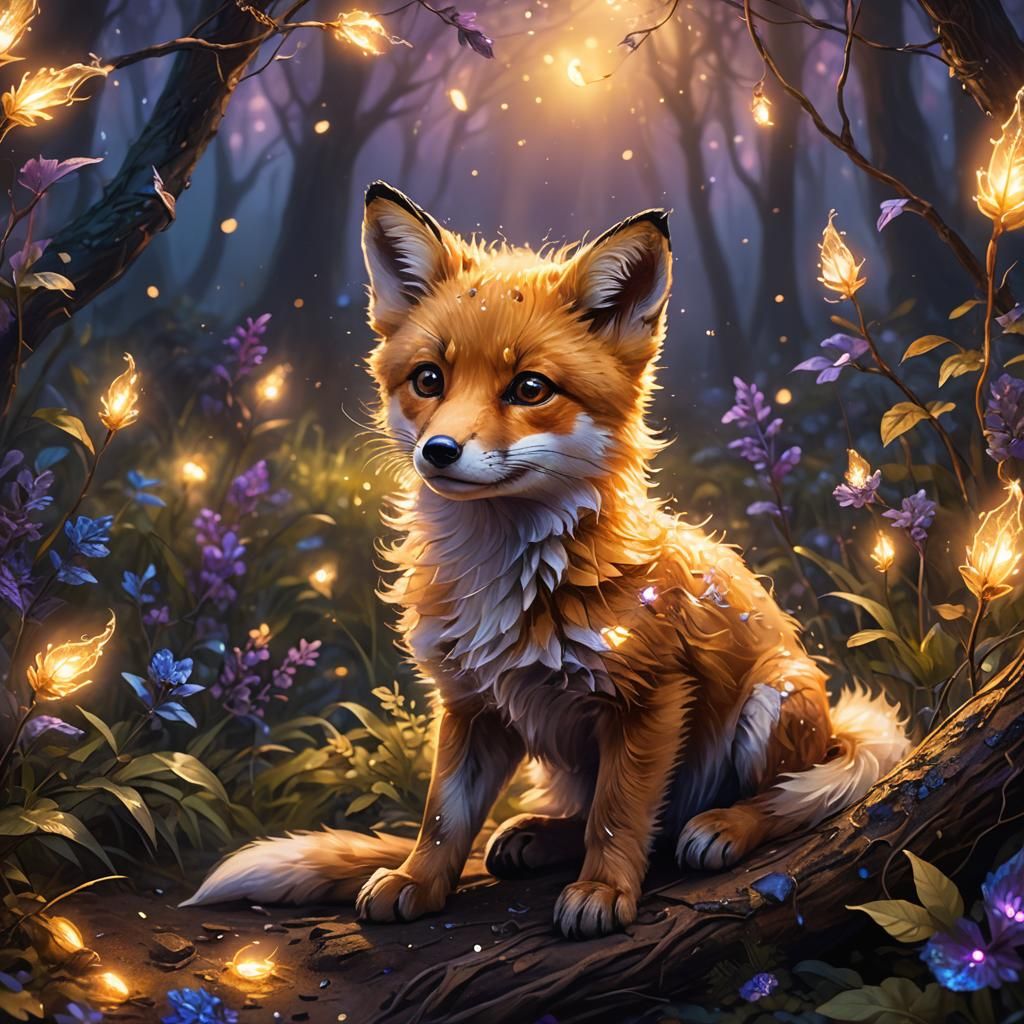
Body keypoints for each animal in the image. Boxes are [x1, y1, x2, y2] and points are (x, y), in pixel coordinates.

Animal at [184, 181, 910, 939]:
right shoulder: (470, 702)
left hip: (774, 698)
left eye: (530, 389)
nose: (438, 451)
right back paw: (536, 837)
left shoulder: (651, 698)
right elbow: (443, 816)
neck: (506, 578)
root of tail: (835, 724)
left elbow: (620, 816)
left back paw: (725, 826)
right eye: (429, 379)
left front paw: (603, 892)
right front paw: (417, 882)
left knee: (769, 802)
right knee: (595, 817)